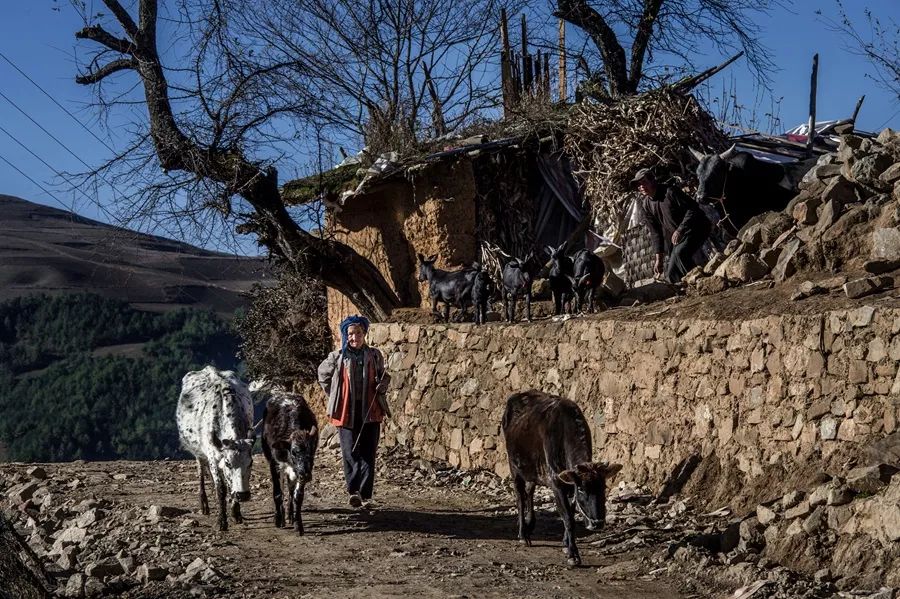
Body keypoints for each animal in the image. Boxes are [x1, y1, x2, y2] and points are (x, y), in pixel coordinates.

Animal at [177, 366, 255, 528]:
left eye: (250, 463)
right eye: (228, 463)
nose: (243, 495)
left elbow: (230, 485)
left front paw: (236, 513)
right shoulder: (213, 458)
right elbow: (221, 489)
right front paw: (222, 521)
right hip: (198, 452)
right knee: (201, 471)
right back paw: (204, 505)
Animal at [258, 392, 318, 536]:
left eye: (312, 451)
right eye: (294, 452)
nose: (307, 475)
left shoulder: (299, 472)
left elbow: (298, 496)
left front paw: (298, 524)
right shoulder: (274, 464)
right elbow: (278, 493)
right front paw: (278, 519)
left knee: (290, 490)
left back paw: (290, 516)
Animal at [502, 390, 624, 568]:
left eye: (603, 487)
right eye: (581, 489)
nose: (598, 523)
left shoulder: (569, 486)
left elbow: (571, 513)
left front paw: (566, 544)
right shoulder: (557, 483)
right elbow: (568, 518)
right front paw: (573, 555)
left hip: (531, 470)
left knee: (529, 491)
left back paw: (530, 525)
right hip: (514, 466)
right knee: (520, 497)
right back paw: (523, 534)